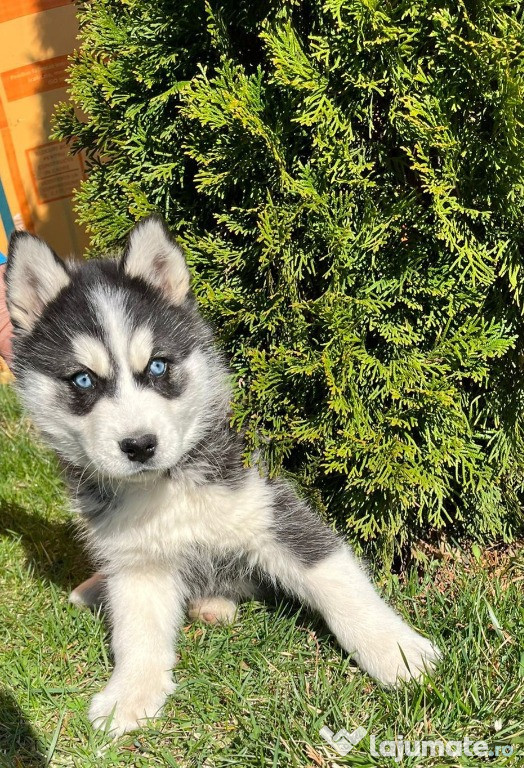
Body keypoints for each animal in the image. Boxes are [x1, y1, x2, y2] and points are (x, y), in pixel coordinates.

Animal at [4, 218, 440, 736]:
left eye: (158, 366)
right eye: (83, 380)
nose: (140, 445)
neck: (165, 487)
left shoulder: (272, 509)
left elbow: (339, 584)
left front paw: (396, 650)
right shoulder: (137, 560)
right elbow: (137, 631)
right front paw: (130, 692)